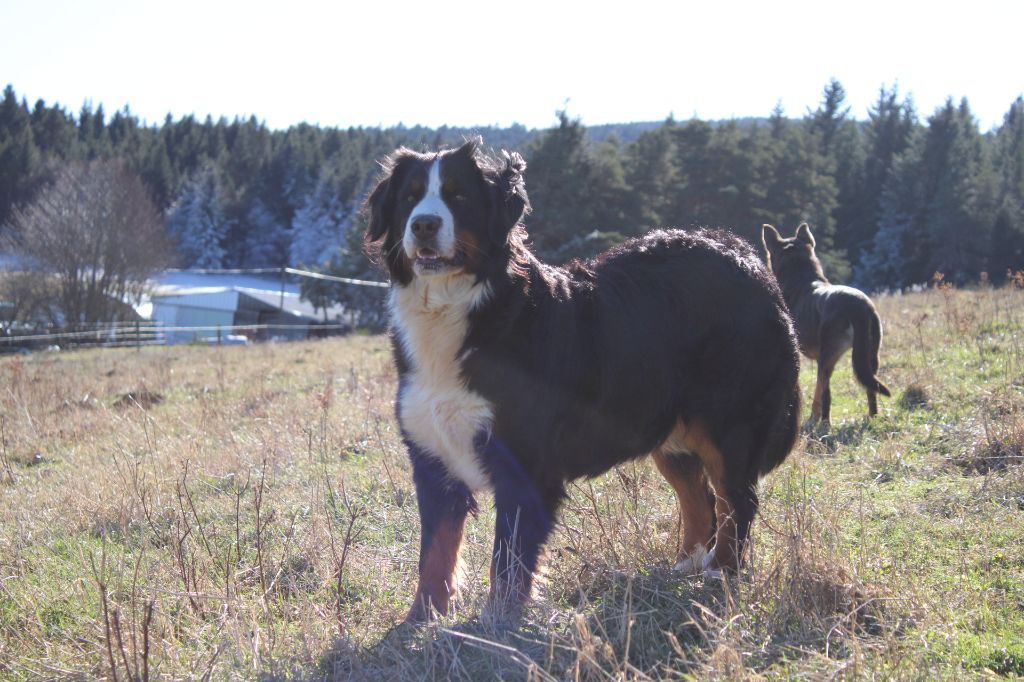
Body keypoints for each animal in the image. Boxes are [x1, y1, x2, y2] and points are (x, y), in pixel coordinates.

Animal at [364, 139, 802, 622]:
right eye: (410, 198)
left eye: (458, 196)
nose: (424, 224)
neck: (460, 311)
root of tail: (748, 258)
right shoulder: (432, 457)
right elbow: (435, 552)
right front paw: (420, 618)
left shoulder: (524, 464)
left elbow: (508, 560)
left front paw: (496, 623)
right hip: (668, 434)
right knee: (700, 501)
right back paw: (684, 568)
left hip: (729, 426)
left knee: (734, 502)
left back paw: (720, 574)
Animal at [761, 224, 888, 425]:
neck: (800, 277)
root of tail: (857, 305)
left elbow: (821, 393)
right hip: (870, 355)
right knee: (870, 388)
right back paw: (871, 417)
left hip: (827, 356)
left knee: (823, 392)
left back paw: (820, 421)